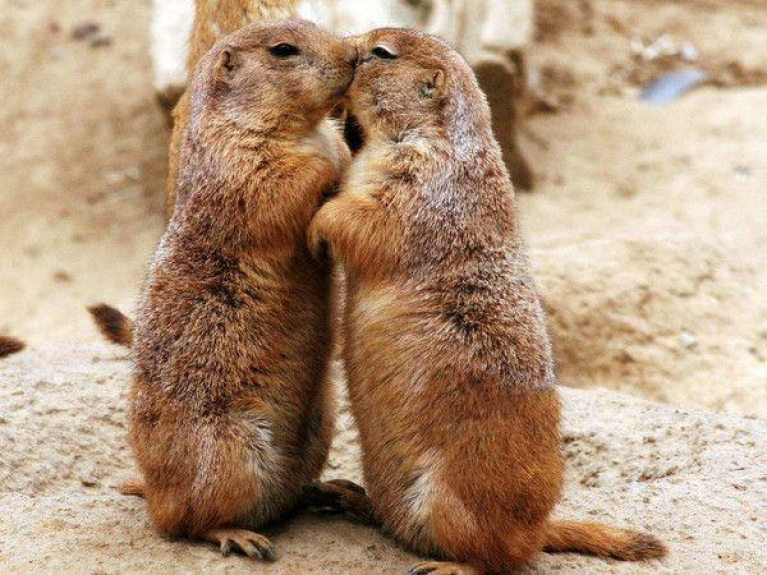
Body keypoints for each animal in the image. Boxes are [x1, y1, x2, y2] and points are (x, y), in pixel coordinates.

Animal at [128, 20, 356, 559]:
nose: (355, 56)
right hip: (229, 448)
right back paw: (241, 536)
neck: (301, 129)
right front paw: (331, 169)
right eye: (283, 50)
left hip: (322, 423)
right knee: (188, 522)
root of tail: (153, 494)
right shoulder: (236, 162)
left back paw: (329, 491)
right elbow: (276, 188)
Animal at [307, 28, 667, 574]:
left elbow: (365, 220)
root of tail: (538, 529)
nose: (344, 48)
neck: (426, 133)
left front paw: (317, 223)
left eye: (381, 53)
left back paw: (447, 564)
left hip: (453, 500)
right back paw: (349, 496)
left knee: (500, 559)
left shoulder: (417, 181)